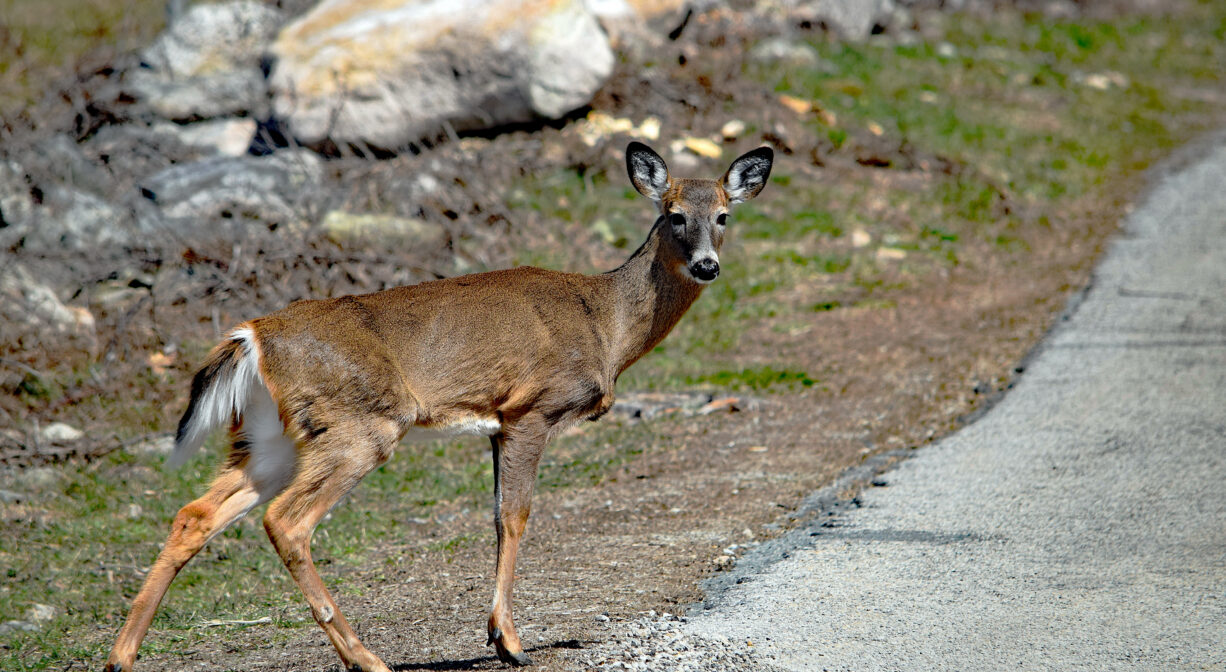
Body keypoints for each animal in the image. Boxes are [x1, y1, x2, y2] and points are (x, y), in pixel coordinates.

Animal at [103, 141, 773, 672]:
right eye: (673, 215)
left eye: (724, 215)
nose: (707, 265)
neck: (606, 323)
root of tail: (252, 335)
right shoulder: (533, 409)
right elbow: (516, 517)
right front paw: (509, 642)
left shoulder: (497, 424)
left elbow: (497, 516)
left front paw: (498, 634)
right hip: (358, 425)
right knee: (287, 522)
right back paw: (367, 659)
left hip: (271, 437)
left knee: (194, 513)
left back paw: (121, 657)